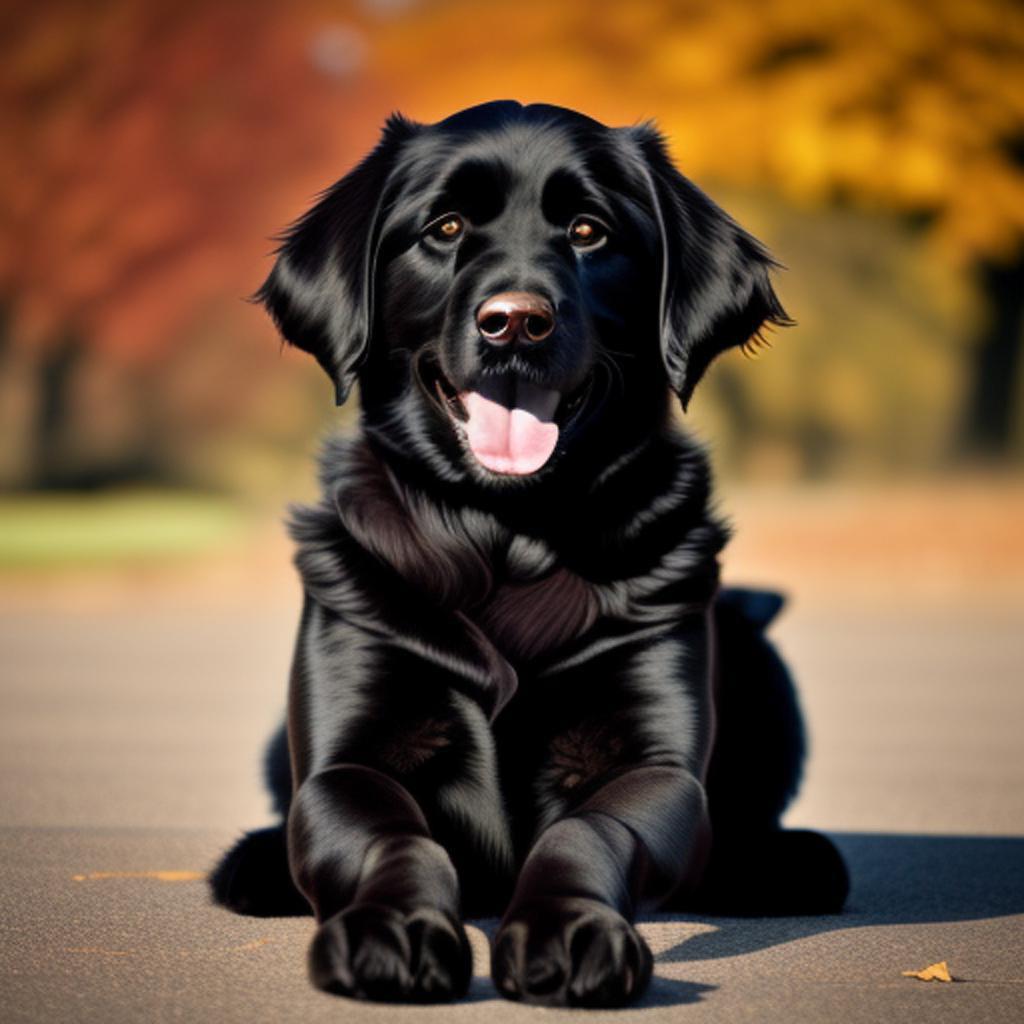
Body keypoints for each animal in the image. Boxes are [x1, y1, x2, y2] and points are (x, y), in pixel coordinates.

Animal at [209, 99, 847, 1003]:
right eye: (444, 228)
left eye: (588, 231)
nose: (515, 321)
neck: (508, 531)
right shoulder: (347, 758)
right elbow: (392, 837)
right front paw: (391, 929)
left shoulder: (654, 764)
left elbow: (590, 833)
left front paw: (569, 931)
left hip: (760, 658)